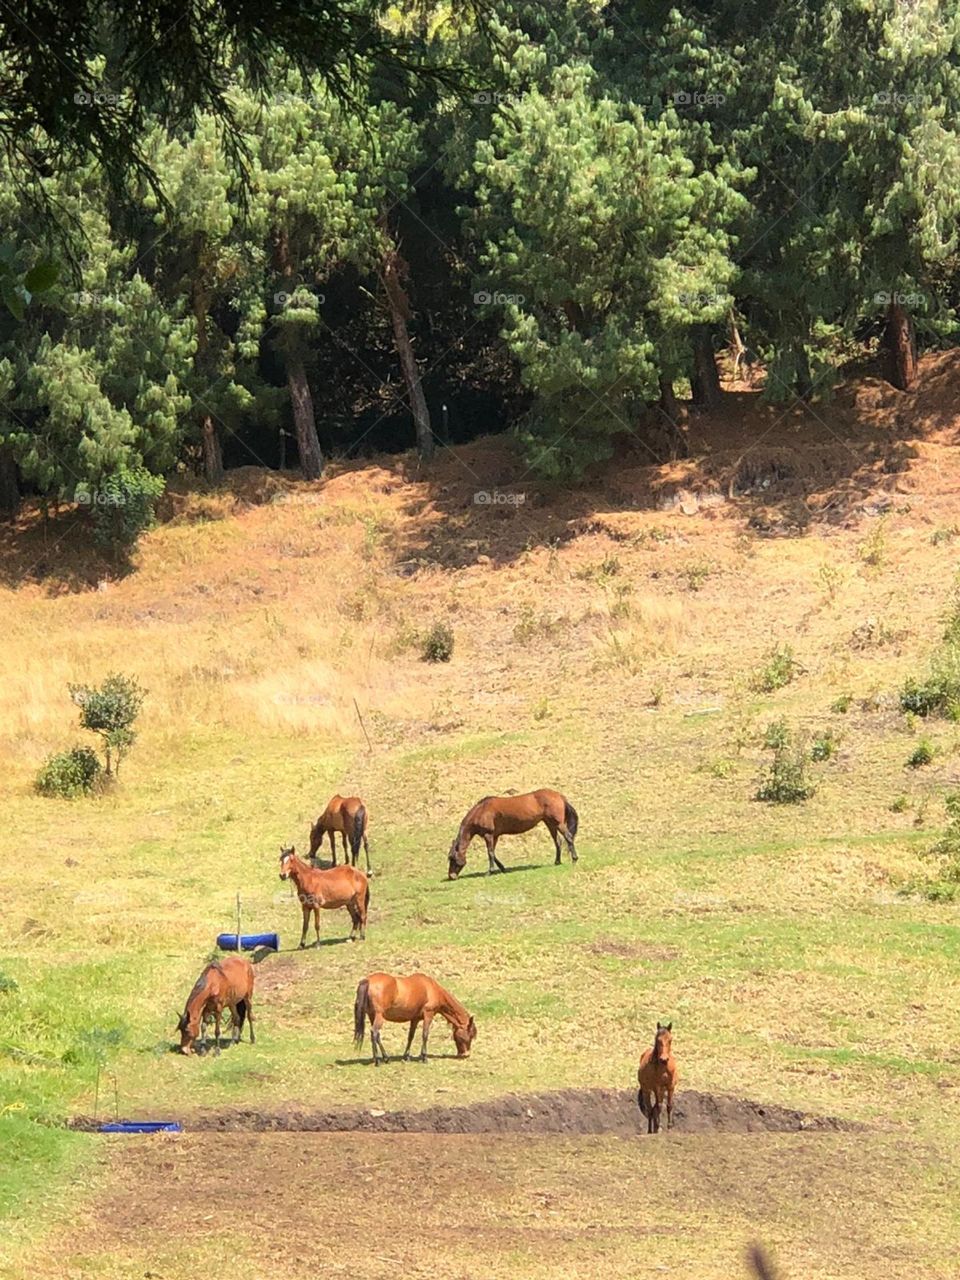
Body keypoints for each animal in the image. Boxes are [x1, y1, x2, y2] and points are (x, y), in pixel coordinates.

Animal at [450, 788, 578, 880]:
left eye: (452, 858)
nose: (451, 876)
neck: (481, 810)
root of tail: (559, 796)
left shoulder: (488, 835)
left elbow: (490, 853)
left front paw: (489, 872)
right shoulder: (495, 836)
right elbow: (493, 853)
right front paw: (502, 868)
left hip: (558, 824)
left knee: (568, 837)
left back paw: (574, 859)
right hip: (550, 823)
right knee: (558, 841)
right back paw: (557, 861)